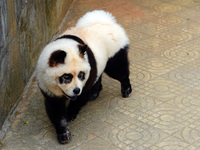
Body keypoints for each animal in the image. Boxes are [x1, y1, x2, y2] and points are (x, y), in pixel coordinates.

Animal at [36, 9, 131, 144]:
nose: (76, 90)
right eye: (67, 77)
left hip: (115, 50)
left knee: (118, 70)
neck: (64, 47)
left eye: (81, 75)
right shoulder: (45, 83)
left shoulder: (87, 75)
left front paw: (70, 113)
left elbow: (81, 97)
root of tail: (107, 21)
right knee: (99, 74)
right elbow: (55, 108)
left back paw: (126, 88)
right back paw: (95, 93)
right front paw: (63, 133)